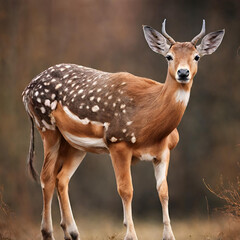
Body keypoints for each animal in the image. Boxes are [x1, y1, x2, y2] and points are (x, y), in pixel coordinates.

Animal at [21, 19, 224, 239]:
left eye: (196, 57)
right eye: (169, 56)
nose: (183, 73)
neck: (151, 127)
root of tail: (27, 90)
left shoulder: (164, 150)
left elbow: (163, 191)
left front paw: (169, 235)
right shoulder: (118, 141)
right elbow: (126, 189)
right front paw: (130, 234)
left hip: (74, 143)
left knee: (61, 178)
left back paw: (72, 232)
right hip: (46, 126)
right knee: (46, 177)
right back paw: (47, 232)